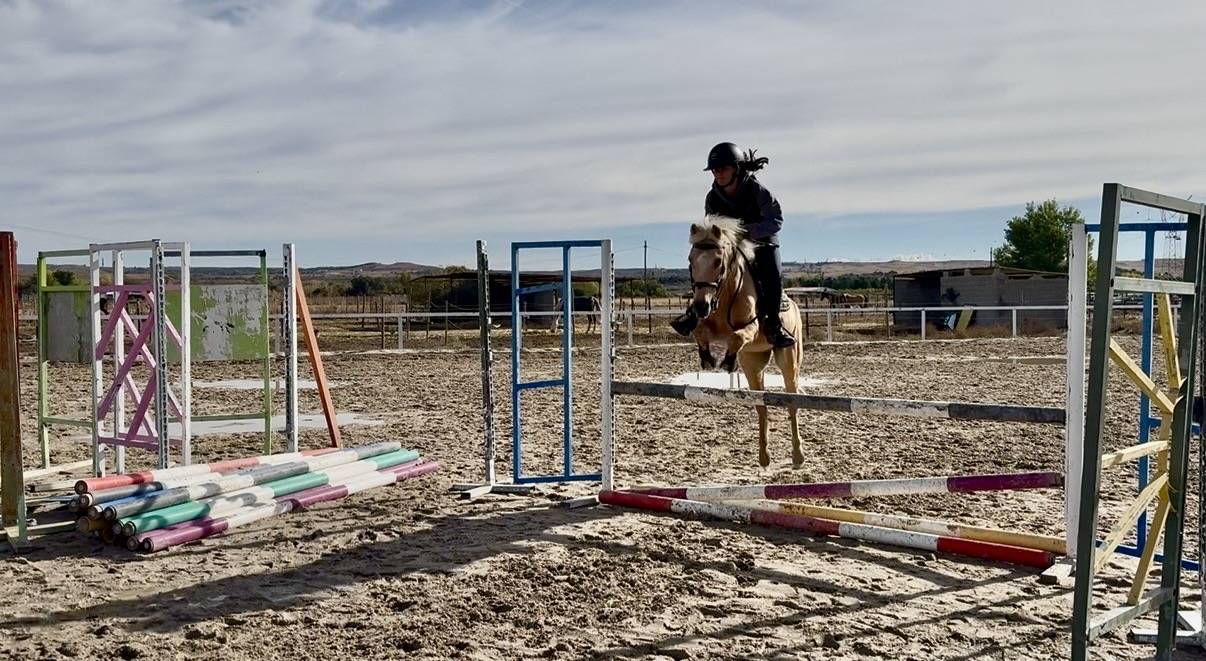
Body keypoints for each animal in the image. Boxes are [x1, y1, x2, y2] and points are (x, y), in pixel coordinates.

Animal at [687, 216, 805, 468]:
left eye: (718, 261)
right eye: (691, 260)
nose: (701, 305)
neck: (724, 295)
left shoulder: (752, 328)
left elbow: (737, 336)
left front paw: (727, 361)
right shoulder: (707, 324)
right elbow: (699, 331)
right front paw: (708, 359)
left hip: (789, 359)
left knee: (792, 402)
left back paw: (798, 456)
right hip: (753, 363)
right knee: (761, 405)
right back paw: (764, 456)